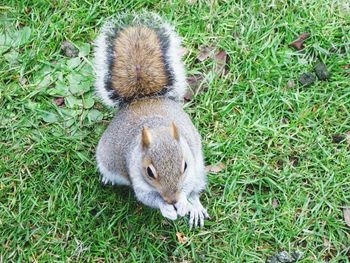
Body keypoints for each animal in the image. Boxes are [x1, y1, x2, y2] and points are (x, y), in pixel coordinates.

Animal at [93, 12, 208, 228]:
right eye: (149, 172)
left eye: (184, 165)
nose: (171, 200)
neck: (157, 128)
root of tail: (143, 99)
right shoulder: (137, 176)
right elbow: (147, 197)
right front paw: (166, 209)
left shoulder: (190, 165)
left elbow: (187, 188)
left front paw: (183, 203)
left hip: (199, 167)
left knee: (196, 188)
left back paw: (195, 206)